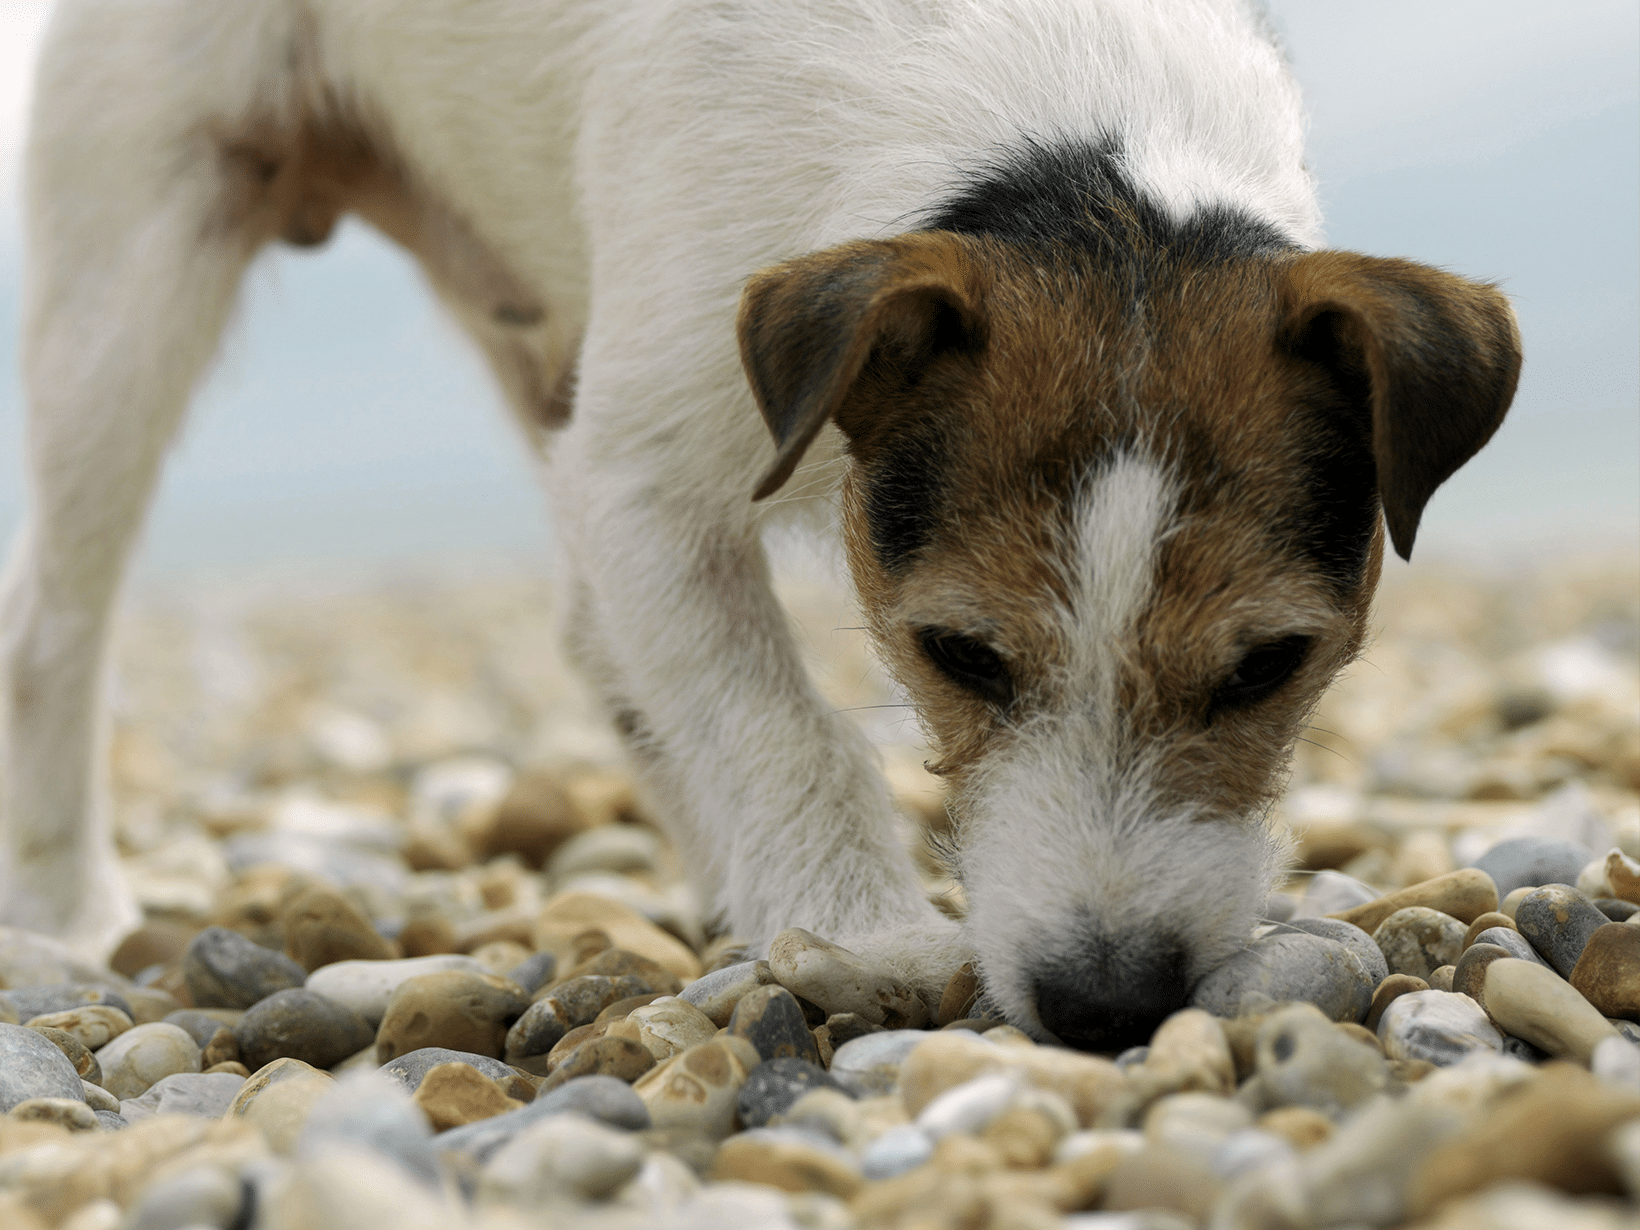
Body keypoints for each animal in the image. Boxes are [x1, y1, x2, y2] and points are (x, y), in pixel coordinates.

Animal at [0, 0, 1508, 1056]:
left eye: (1270, 665)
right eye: (958, 655)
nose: (1106, 1005)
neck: (1071, 148)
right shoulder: (639, 475)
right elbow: (776, 719)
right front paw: (861, 932)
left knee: (600, 637)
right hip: (143, 250)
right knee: (55, 623)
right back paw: (70, 911)